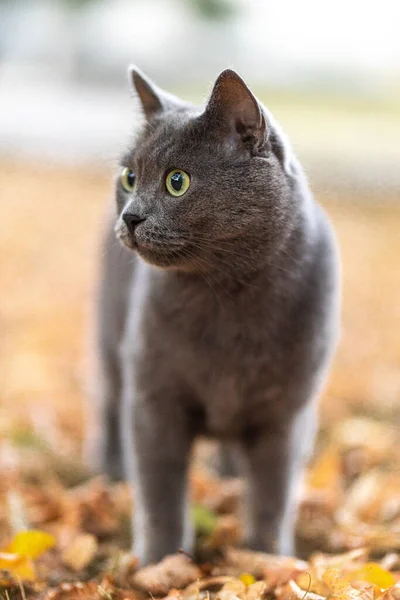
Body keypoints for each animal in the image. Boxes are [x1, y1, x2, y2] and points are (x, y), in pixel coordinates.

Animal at [86, 68, 340, 564]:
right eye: (129, 176)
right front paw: (158, 564)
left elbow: (273, 496)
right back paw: (110, 471)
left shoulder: (286, 413)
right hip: (110, 342)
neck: (227, 296)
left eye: (177, 182)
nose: (131, 217)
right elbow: (160, 491)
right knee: (108, 404)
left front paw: (267, 560)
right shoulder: (154, 399)